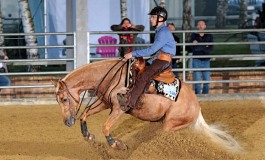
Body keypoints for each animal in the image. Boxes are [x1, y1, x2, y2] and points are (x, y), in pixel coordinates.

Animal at [53, 59, 241, 152]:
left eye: (64, 99)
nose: (67, 122)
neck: (113, 76)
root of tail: (196, 105)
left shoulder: (119, 109)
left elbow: (106, 127)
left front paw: (117, 145)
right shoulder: (105, 103)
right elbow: (85, 113)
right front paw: (88, 135)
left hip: (170, 125)